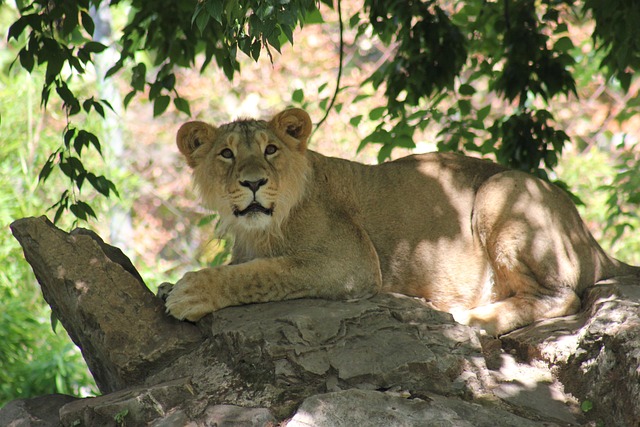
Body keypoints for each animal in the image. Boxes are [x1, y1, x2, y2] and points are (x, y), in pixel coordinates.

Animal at [161, 108, 640, 336]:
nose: (254, 182)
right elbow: (252, 268)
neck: (258, 230)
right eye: (226, 154)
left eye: (271, 149)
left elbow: (266, 272)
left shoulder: (350, 264)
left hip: (501, 190)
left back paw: (468, 318)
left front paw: (191, 291)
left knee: (562, 295)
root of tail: (592, 240)